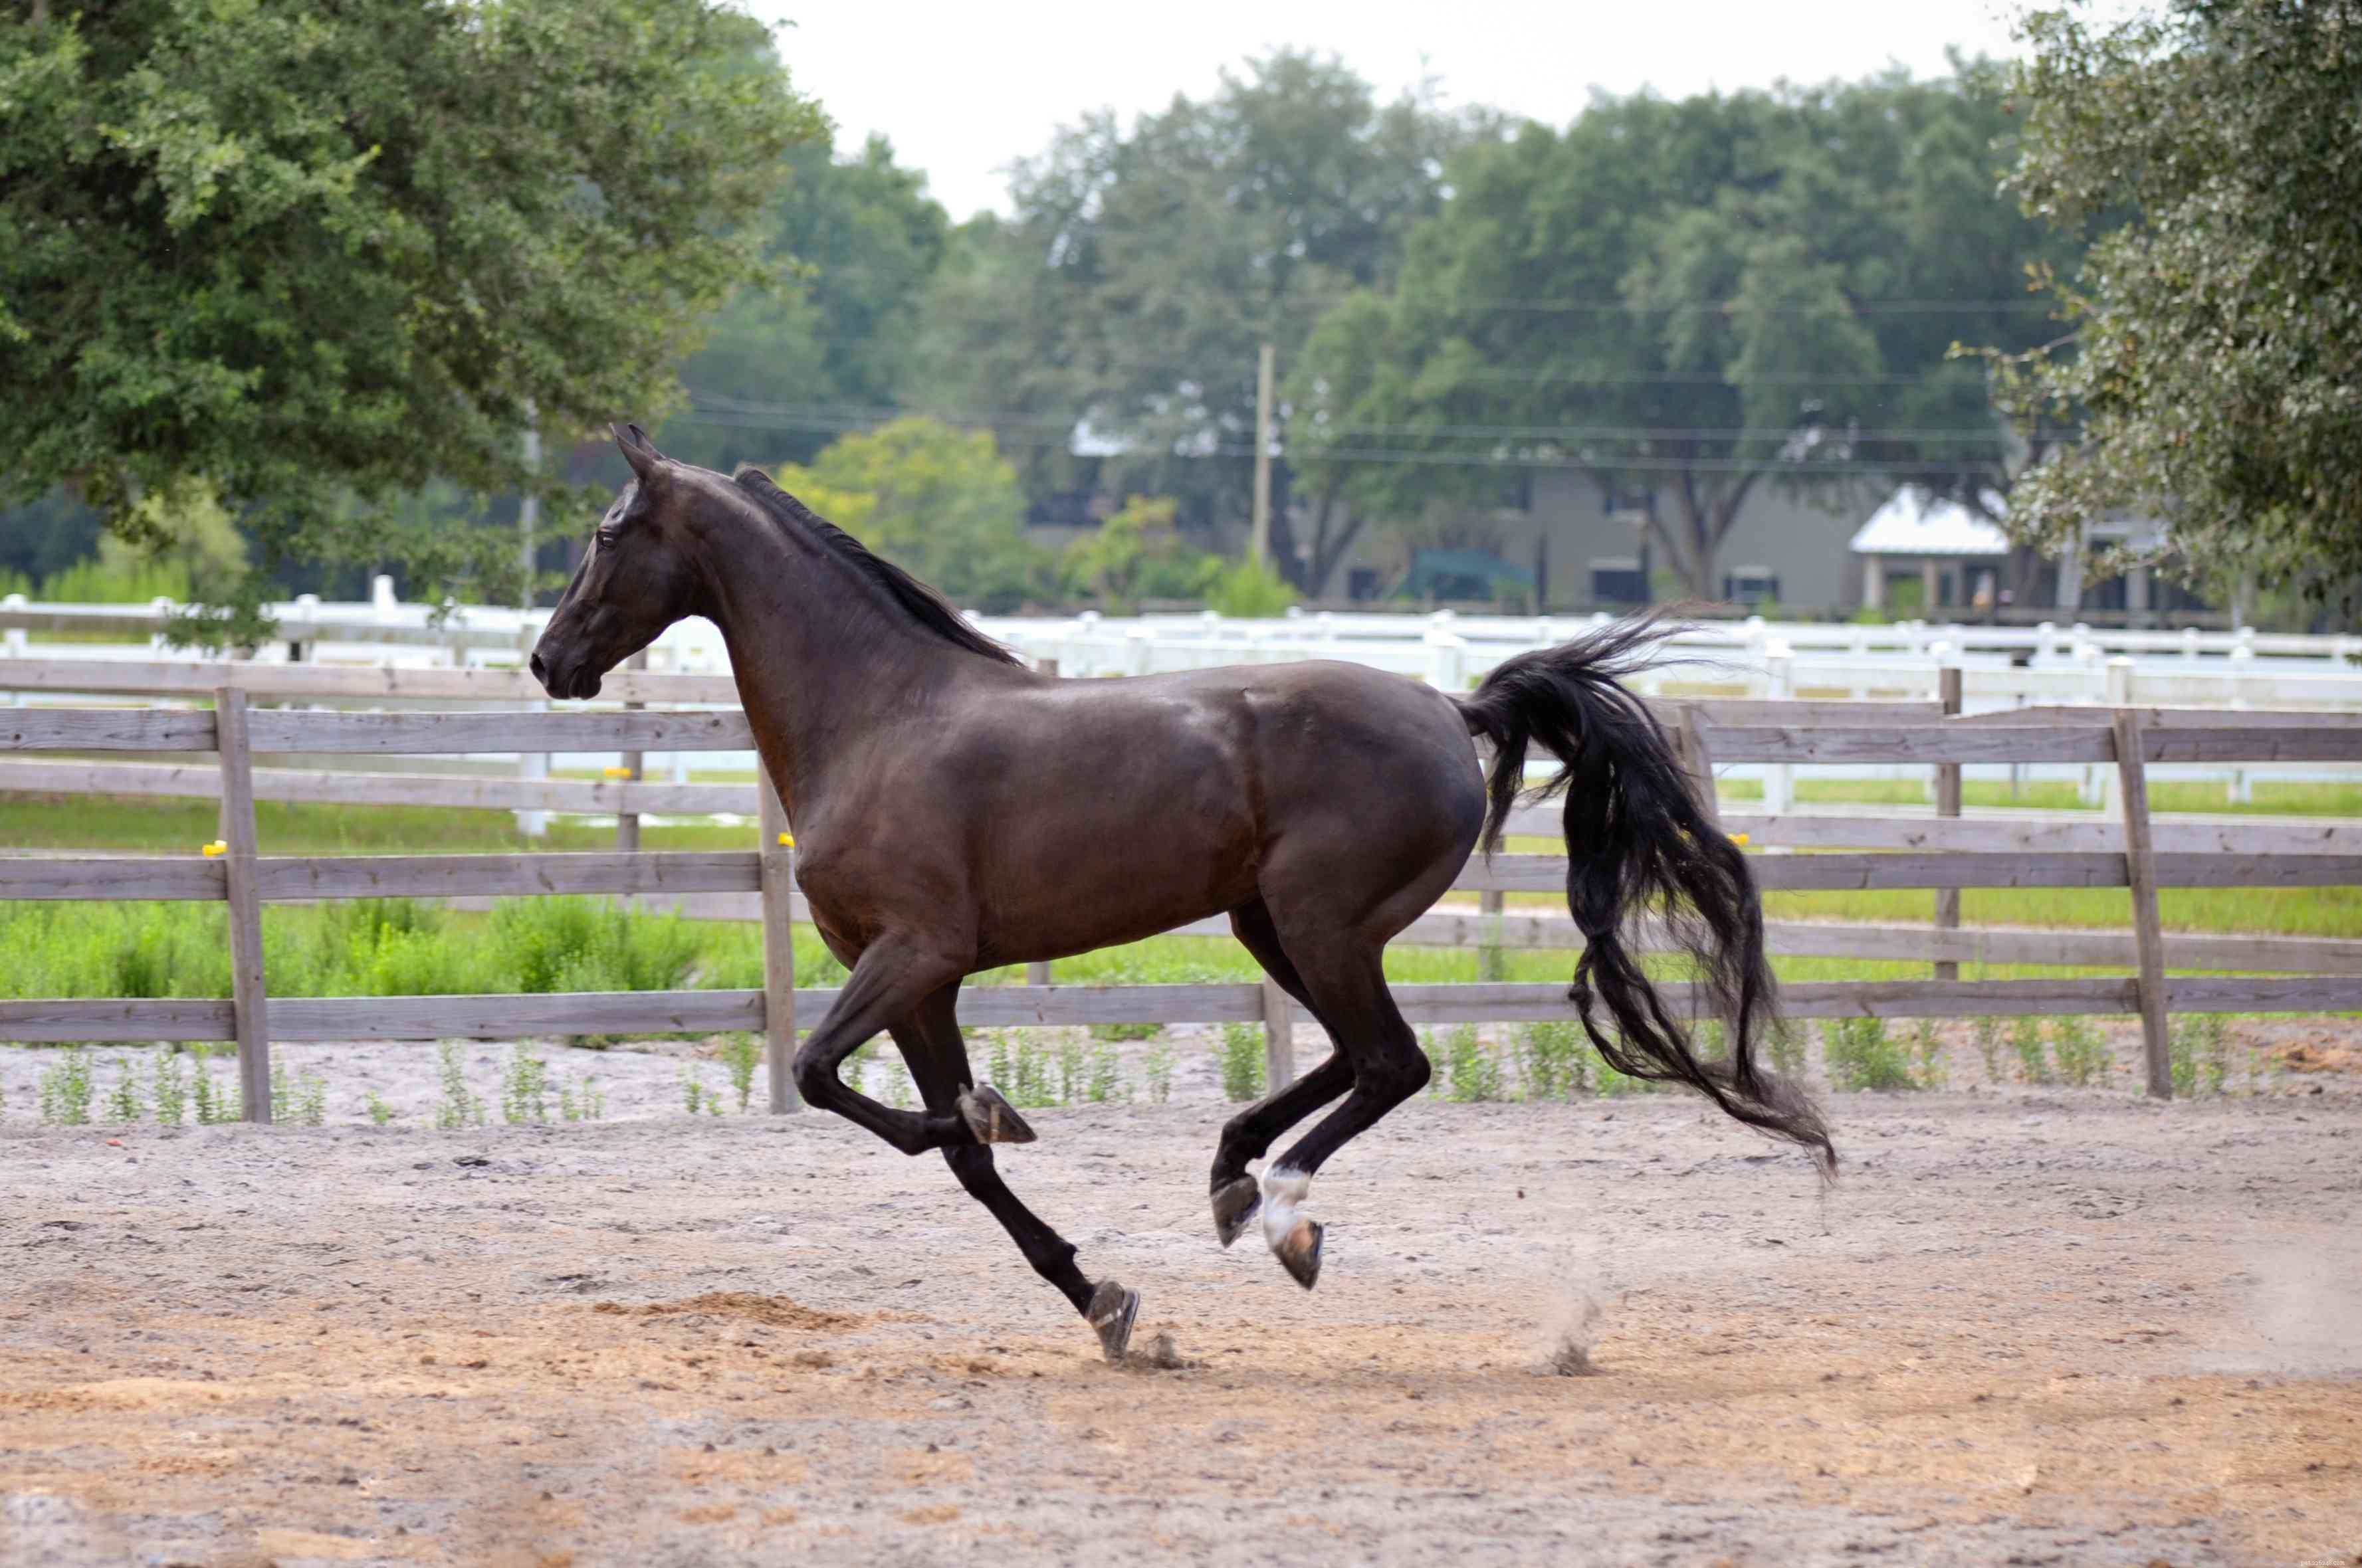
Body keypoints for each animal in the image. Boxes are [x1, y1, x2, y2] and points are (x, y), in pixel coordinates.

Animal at [531, 423, 1832, 1361]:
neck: (878, 717)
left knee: (1390, 1064)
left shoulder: (912, 954)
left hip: (1318, 922)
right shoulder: (916, 985)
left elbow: (825, 1082)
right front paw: (1102, 1298)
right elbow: (953, 1155)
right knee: (1351, 1060)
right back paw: (1230, 1179)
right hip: (1272, 926)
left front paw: (1008, 1130)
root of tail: (1448, 706)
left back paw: (1283, 1214)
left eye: (603, 530)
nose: (549, 661)